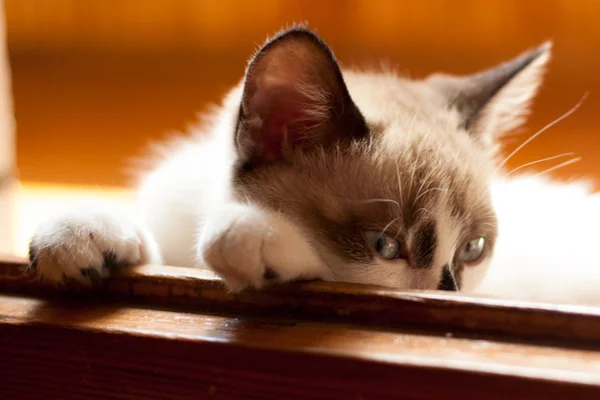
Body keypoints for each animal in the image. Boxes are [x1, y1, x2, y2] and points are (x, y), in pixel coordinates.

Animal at [28, 27, 600, 304]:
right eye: (385, 246)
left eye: (473, 250)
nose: (447, 295)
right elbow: (149, 244)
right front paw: (81, 235)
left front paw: (249, 234)